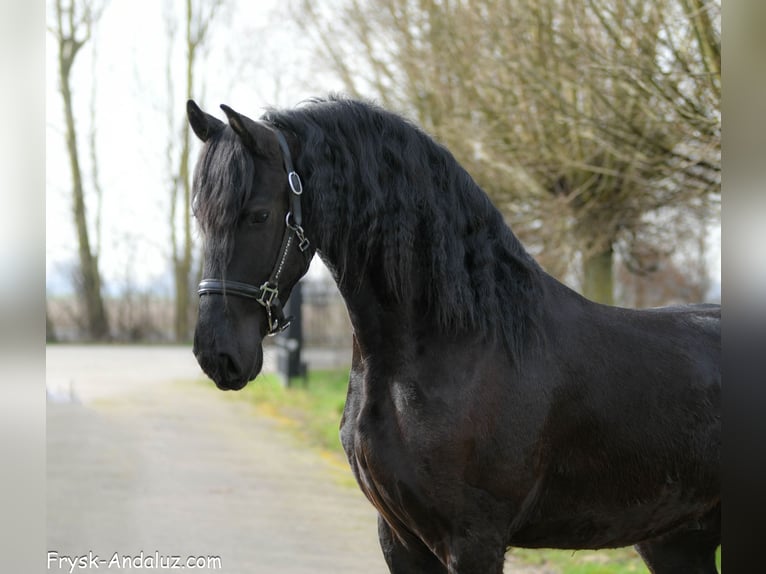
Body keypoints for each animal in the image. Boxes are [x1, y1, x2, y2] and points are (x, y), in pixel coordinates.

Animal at [187, 96, 721, 574]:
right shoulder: (400, 538)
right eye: (199, 216)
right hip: (675, 540)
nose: (217, 354)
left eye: (258, 214)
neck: (460, 345)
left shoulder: (473, 540)